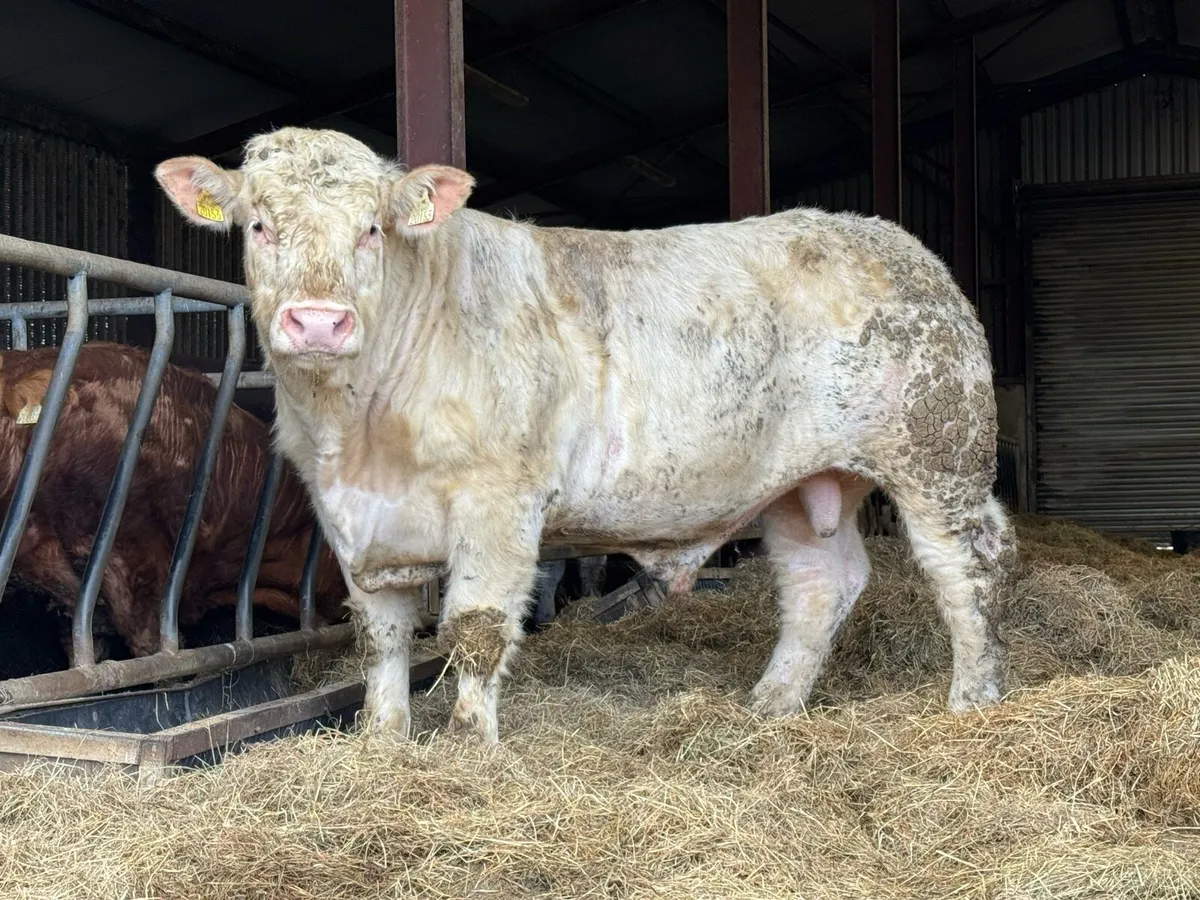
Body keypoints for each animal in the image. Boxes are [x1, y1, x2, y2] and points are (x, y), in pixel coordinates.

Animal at [155, 127, 1016, 744]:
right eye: (258, 225)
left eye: (372, 229)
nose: (318, 322)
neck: (358, 433)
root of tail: (893, 243)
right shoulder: (353, 520)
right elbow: (380, 637)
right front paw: (382, 740)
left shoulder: (499, 497)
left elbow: (475, 627)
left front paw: (469, 744)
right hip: (800, 485)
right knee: (819, 583)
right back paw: (769, 706)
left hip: (939, 459)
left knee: (969, 569)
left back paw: (972, 702)